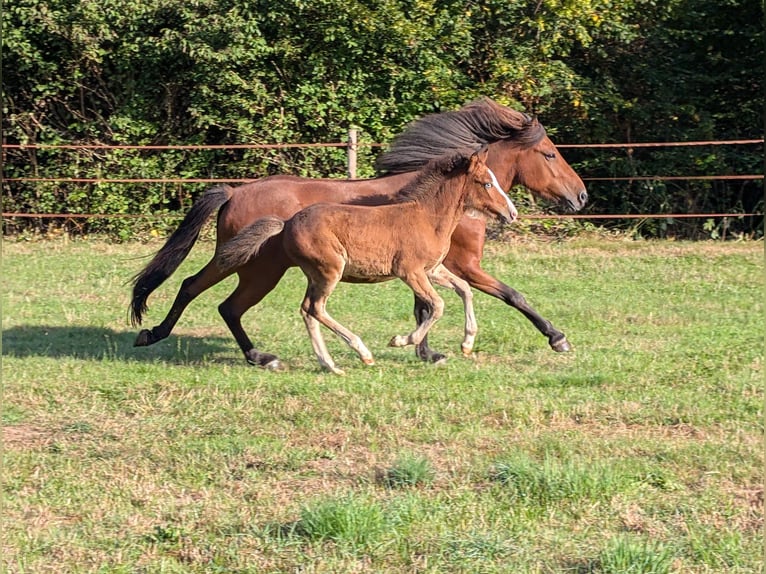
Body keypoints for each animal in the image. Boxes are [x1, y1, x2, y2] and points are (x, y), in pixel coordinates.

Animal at [216, 147, 517, 374]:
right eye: (487, 183)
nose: (511, 213)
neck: (427, 218)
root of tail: (286, 223)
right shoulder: (410, 272)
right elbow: (438, 305)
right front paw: (400, 340)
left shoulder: (432, 269)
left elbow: (464, 290)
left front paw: (467, 343)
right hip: (330, 270)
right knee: (316, 308)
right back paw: (362, 353)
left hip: (315, 274)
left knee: (306, 310)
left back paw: (330, 365)